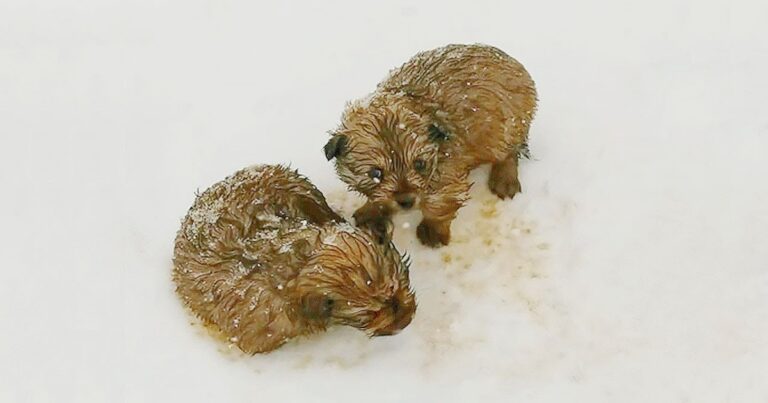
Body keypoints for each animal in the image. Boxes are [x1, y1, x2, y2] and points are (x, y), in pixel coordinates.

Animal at [328, 43, 536, 246]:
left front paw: (432, 231)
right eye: (375, 174)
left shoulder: (448, 177)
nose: (406, 201)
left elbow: (439, 205)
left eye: (420, 164)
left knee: (509, 153)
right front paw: (372, 211)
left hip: (505, 130)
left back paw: (504, 180)